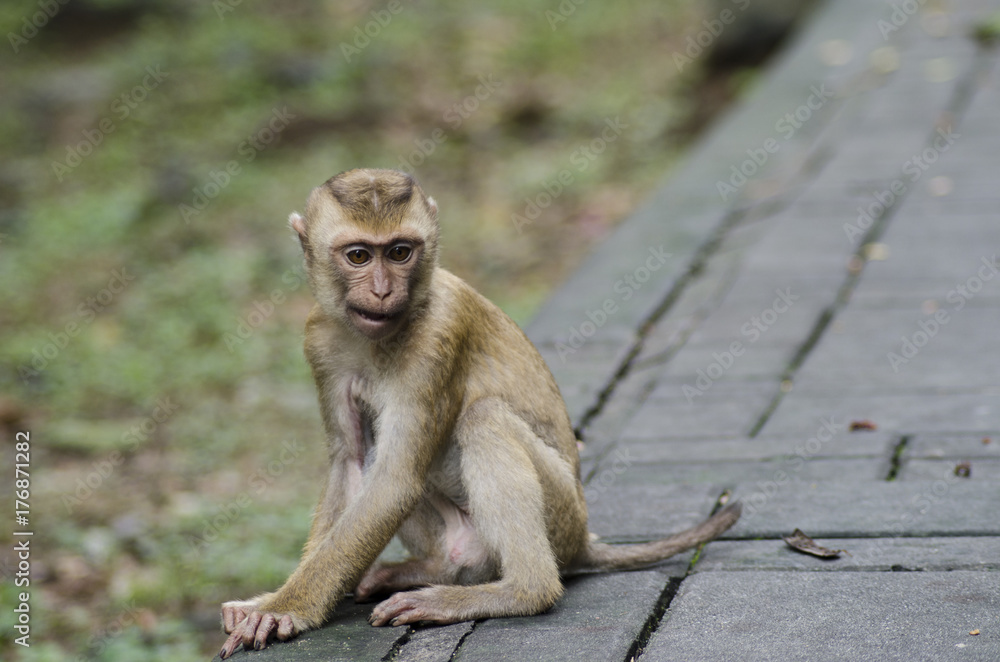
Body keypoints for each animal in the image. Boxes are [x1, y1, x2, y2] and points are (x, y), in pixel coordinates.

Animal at [218, 168, 740, 658]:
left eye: (400, 252)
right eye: (359, 256)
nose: (384, 291)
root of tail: (582, 540)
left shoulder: (439, 335)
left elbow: (394, 481)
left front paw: (284, 609)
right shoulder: (319, 340)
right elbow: (351, 463)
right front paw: (272, 600)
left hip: (560, 517)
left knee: (482, 420)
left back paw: (521, 592)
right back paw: (429, 571)